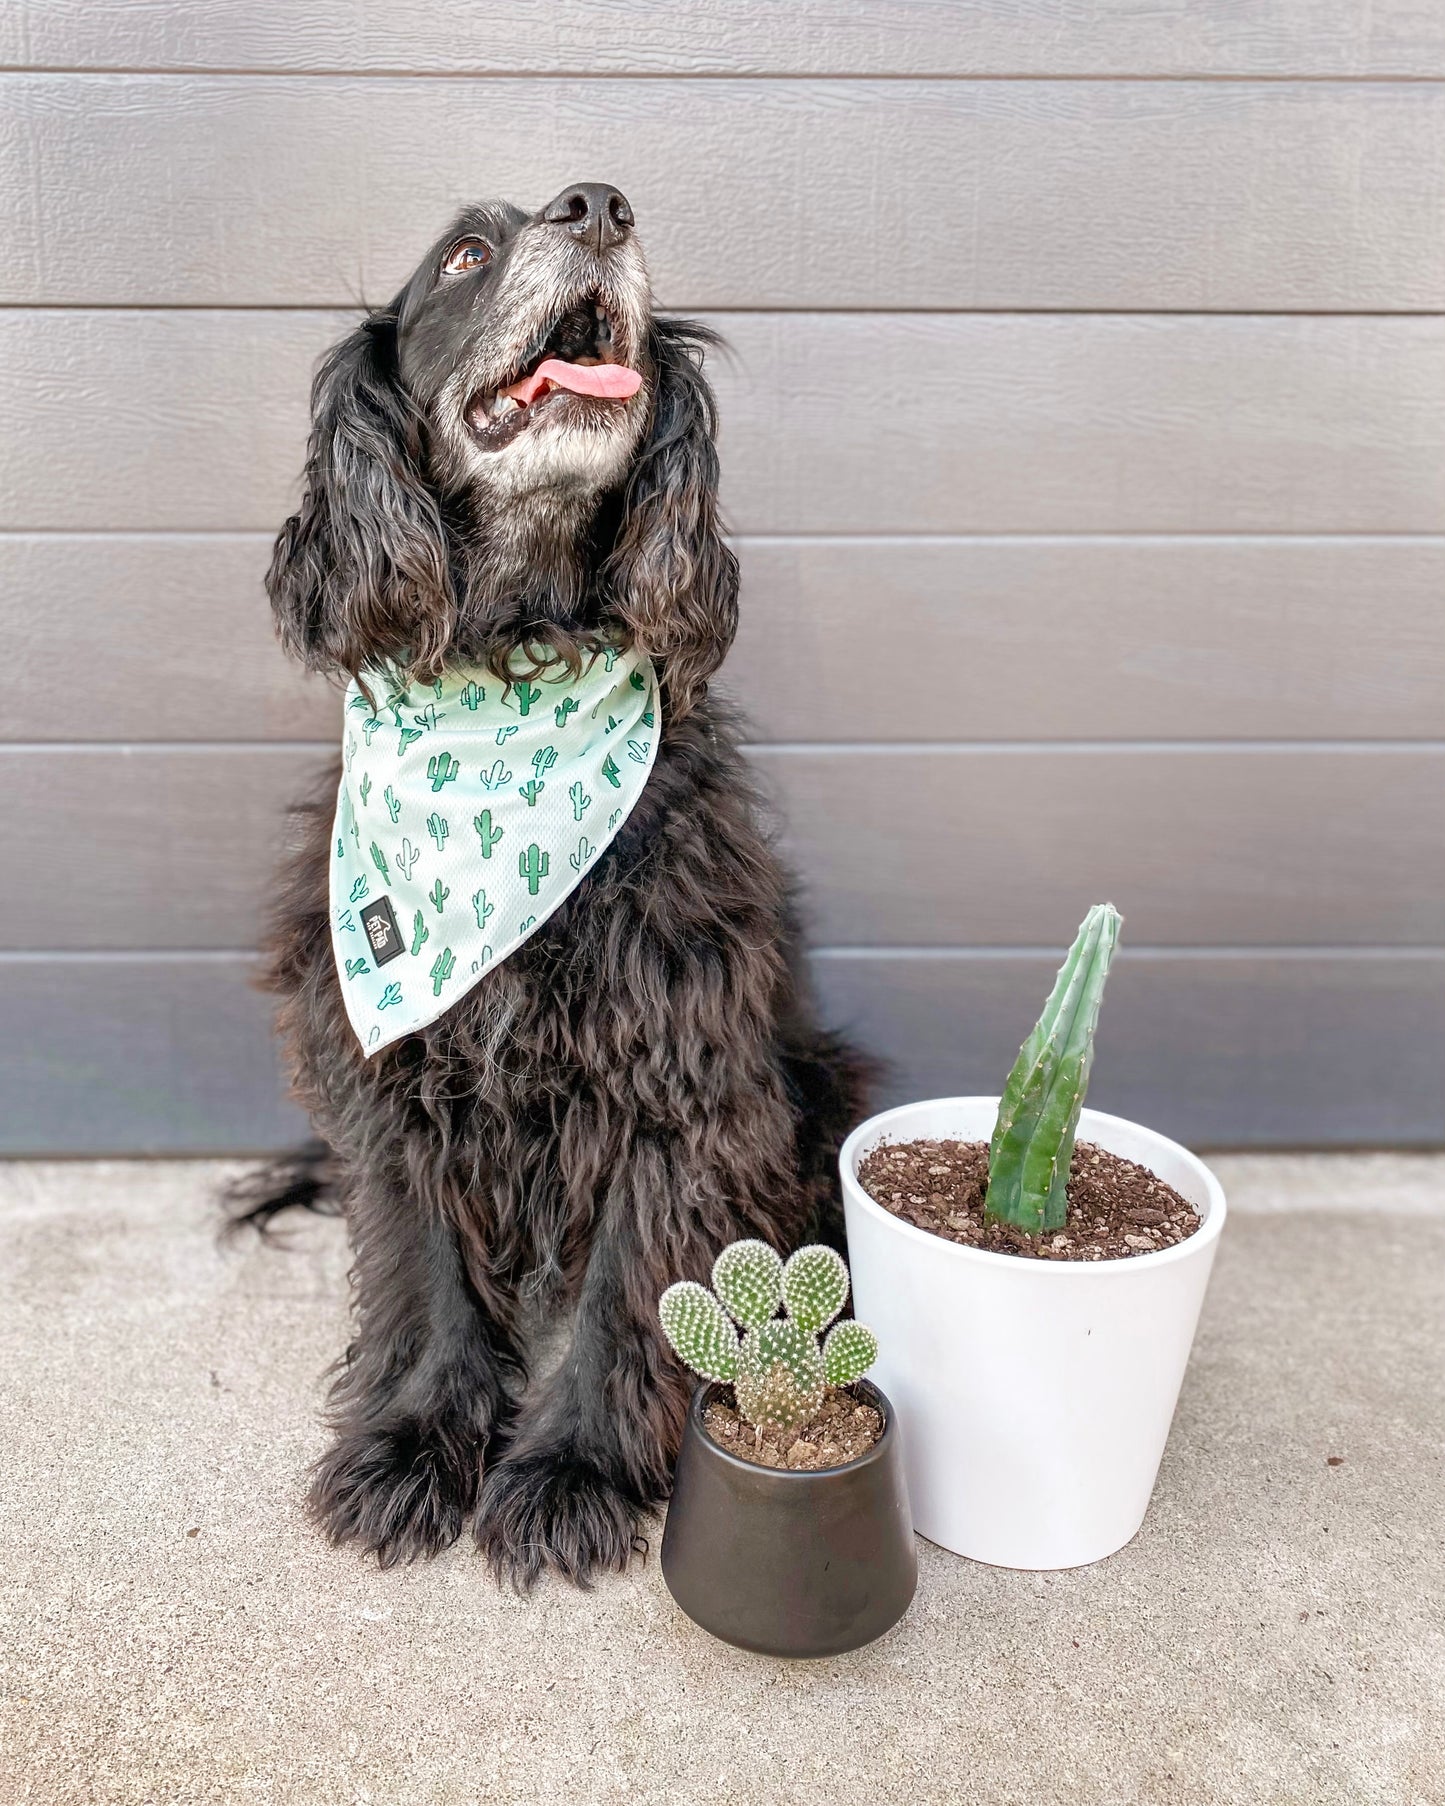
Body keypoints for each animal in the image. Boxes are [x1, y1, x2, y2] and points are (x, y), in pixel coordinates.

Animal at [234, 183, 863, 1589]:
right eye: (465, 254)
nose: (599, 205)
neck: (514, 657)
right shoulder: (395, 1067)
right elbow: (424, 1276)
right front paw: (411, 1450)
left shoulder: (680, 1078)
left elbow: (628, 1292)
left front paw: (570, 1473)